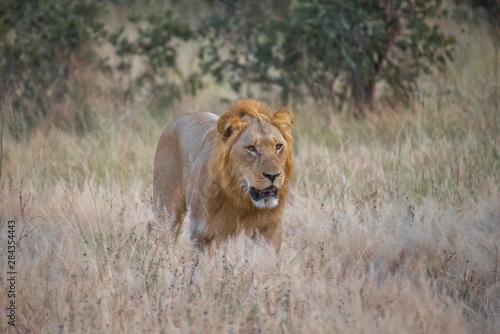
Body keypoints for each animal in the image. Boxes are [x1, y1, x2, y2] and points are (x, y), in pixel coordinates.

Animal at [152, 99, 292, 253]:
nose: (274, 175)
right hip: (166, 209)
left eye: (278, 146)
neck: (241, 198)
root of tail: (174, 122)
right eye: (251, 148)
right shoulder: (202, 231)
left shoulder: (270, 230)